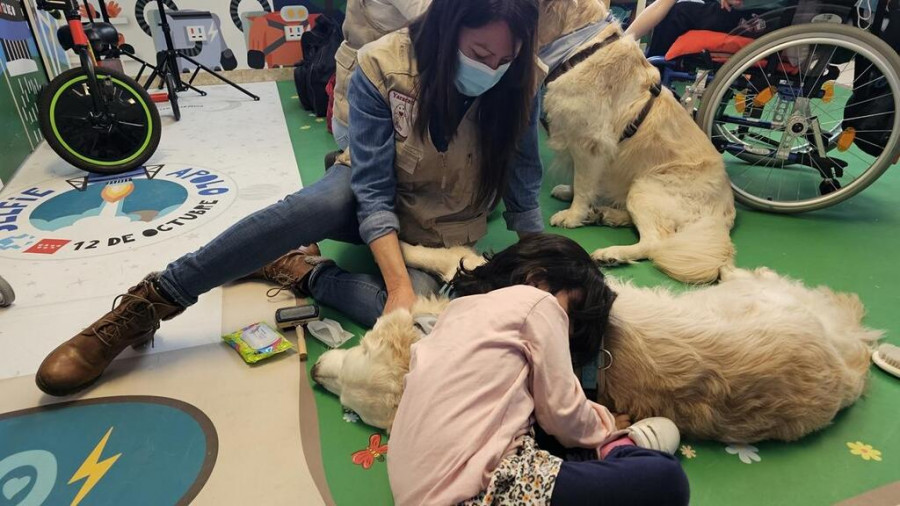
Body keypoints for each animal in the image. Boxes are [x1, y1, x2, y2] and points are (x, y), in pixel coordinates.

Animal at [312, 243, 880, 440]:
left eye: (362, 348)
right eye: (351, 410)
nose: (316, 373)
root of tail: (852, 361)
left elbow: (436, 252)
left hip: (770, 291)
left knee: (749, 273)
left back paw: (725, 267)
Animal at [536, 0, 736, 284]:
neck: (582, 46)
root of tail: (726, 210)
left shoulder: (590, 143)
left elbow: (584, 184)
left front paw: (574, 215)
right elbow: (582, 180)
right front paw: (571, 194)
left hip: (645, 187)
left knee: (656, 243)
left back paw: (611, 253)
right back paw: (607, 214)